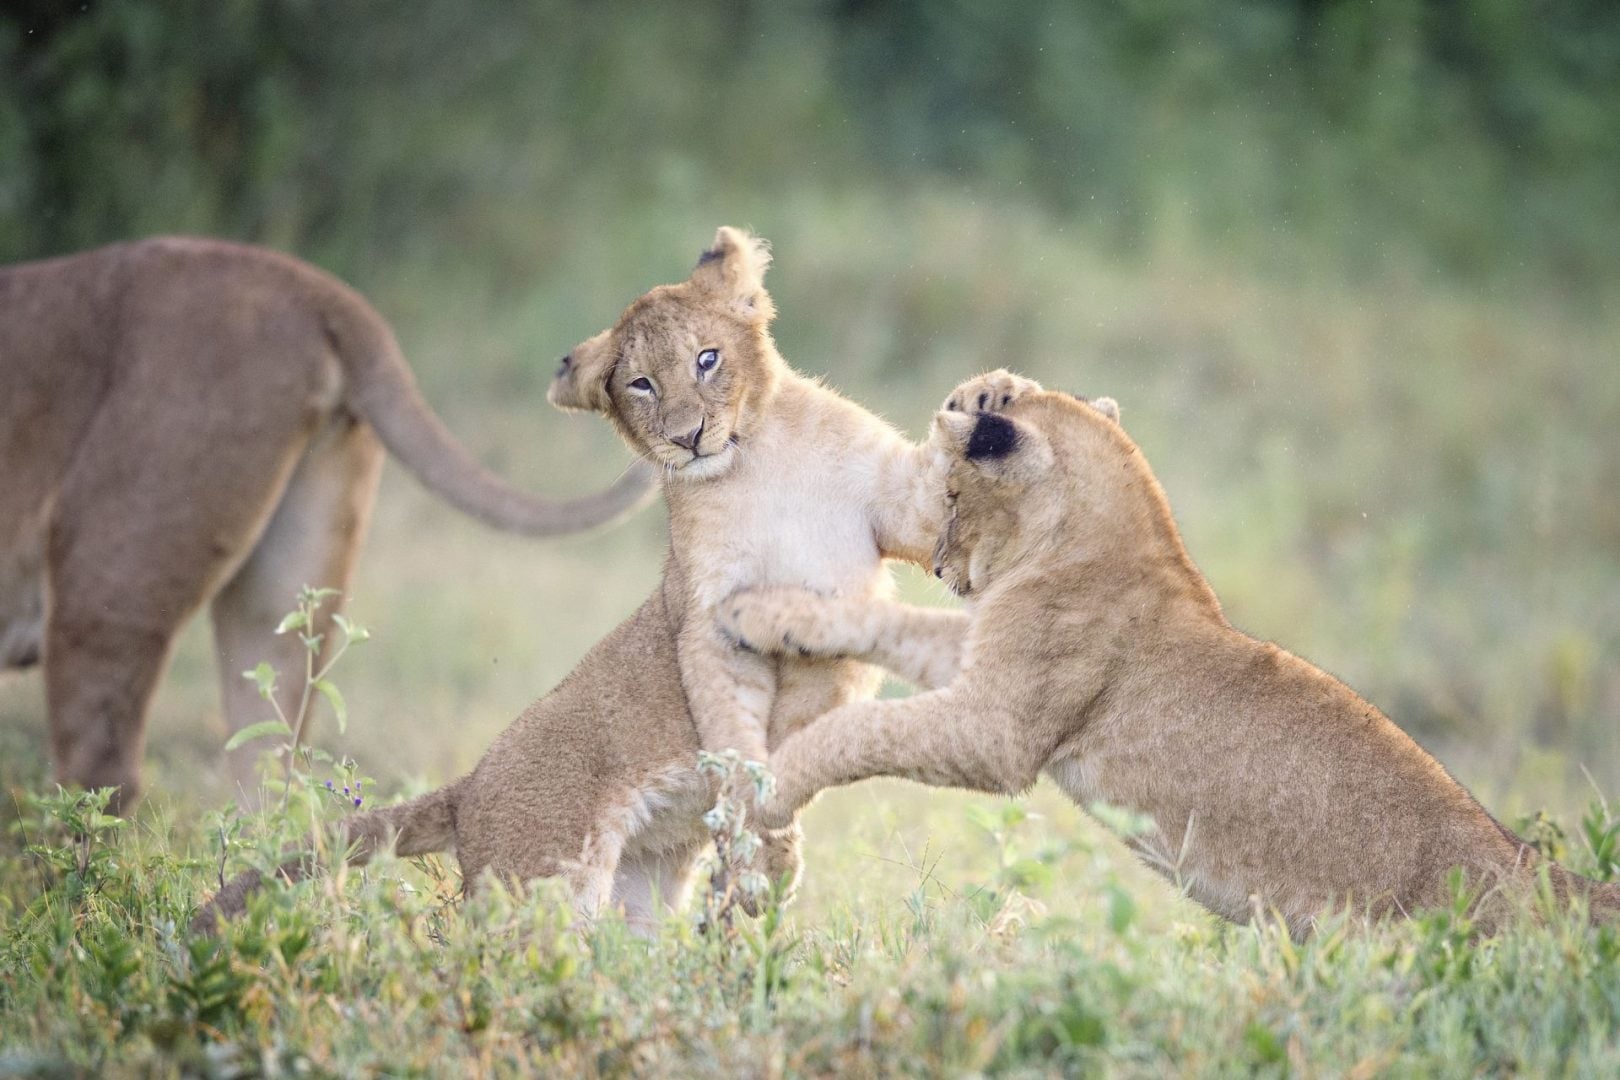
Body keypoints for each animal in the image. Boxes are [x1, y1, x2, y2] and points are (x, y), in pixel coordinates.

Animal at [193, 228, 1015, 932]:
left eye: (708, 359)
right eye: (642, 384)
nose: (688, 438)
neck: (762, 460)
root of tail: (468, 788)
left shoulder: (896, 507)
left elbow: (930, 504)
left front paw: (993, 398)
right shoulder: (708, 618)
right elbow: (735, 738)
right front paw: (763, 844)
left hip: (640, 891)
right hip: (548, 883)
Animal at [722, 386, 1620, 934]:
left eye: (948, 495)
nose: (940, 567)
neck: (1105, 537)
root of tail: (1538, 873)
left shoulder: (996, 731)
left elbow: (861, 731)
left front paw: (770, 783)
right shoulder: (978, 664)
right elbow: (886, 621)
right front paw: (756, 614)